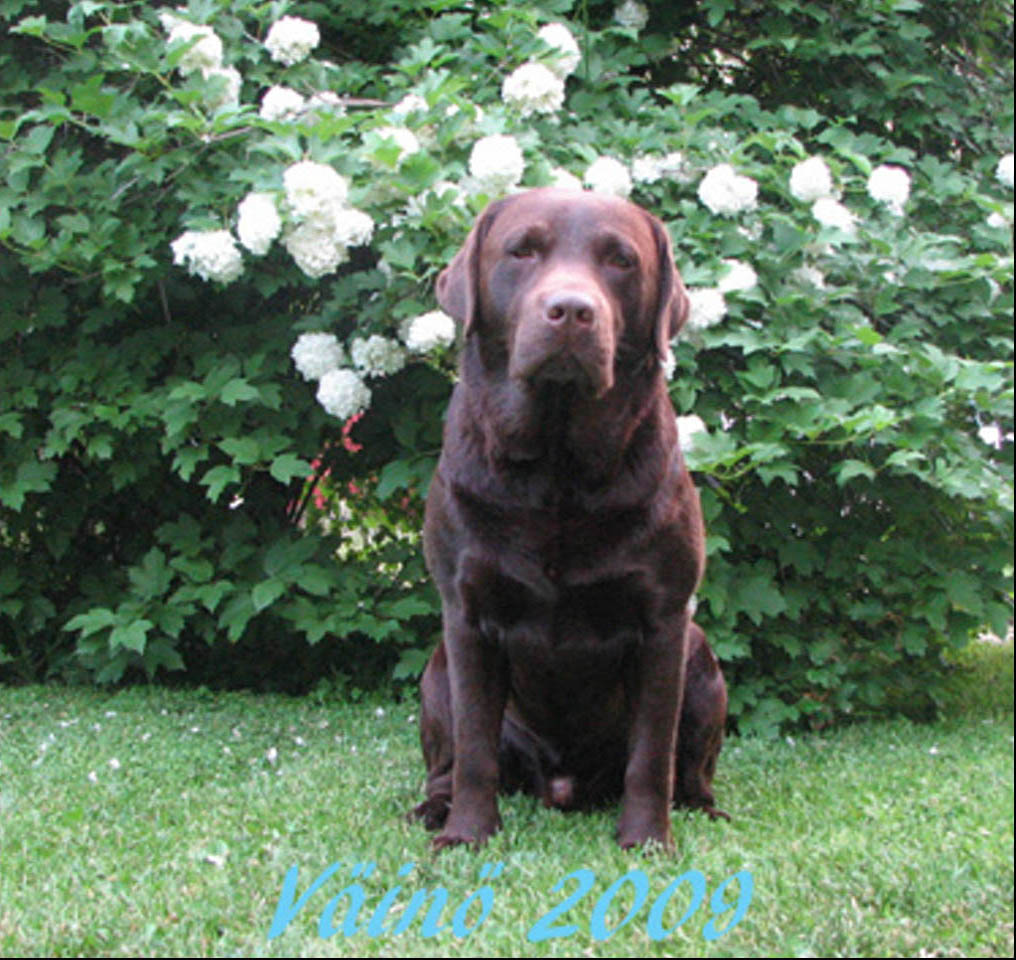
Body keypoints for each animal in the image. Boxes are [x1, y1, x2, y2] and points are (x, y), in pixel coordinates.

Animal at [412, 188, 727, 850]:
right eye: (522, 251)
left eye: (621, 261)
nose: (572, 310)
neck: (558, 471)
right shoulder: (467, 614)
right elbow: (475, 747)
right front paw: (467, 835)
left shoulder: (664, 621)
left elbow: (651, 754)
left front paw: (647, 840)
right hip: (437, 668)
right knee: (450, 760)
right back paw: (434, 808)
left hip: (702, 662)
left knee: (688, 766)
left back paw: (701, 806)